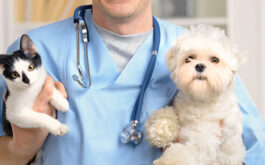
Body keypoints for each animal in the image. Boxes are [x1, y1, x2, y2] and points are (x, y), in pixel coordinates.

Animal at [144, 24, 245, 165]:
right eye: (189, 58)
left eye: (215, 60)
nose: (200, 66)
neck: (199, 101)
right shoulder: (177, 107)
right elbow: (166, 112)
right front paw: (159, 130)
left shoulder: (204, 142)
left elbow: (180, 154)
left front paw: (165, 162)